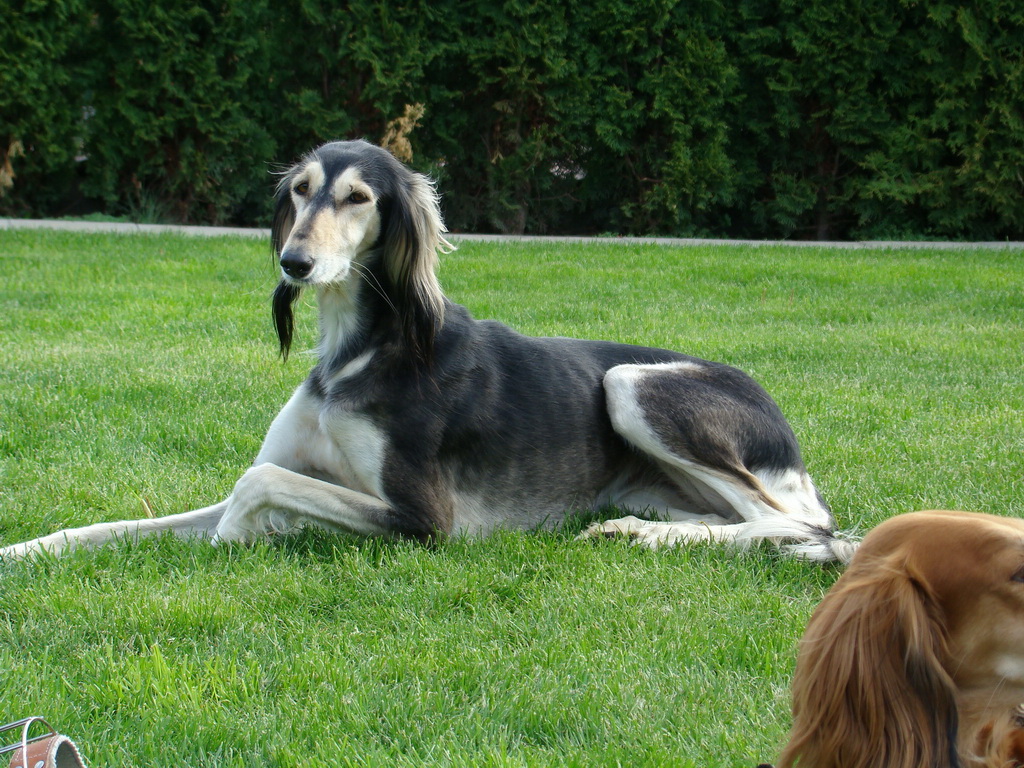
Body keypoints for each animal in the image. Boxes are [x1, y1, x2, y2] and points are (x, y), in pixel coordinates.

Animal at [2, 138, 856, 561]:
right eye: (301, 190)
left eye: (357, 198)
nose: (295, 263)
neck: (358, 351)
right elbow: (112, 527)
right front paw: (27, 552)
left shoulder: (425, 519)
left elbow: (257, 484)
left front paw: (236, 536)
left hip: (630, 382)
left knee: (799, 525)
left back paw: (648, 538)